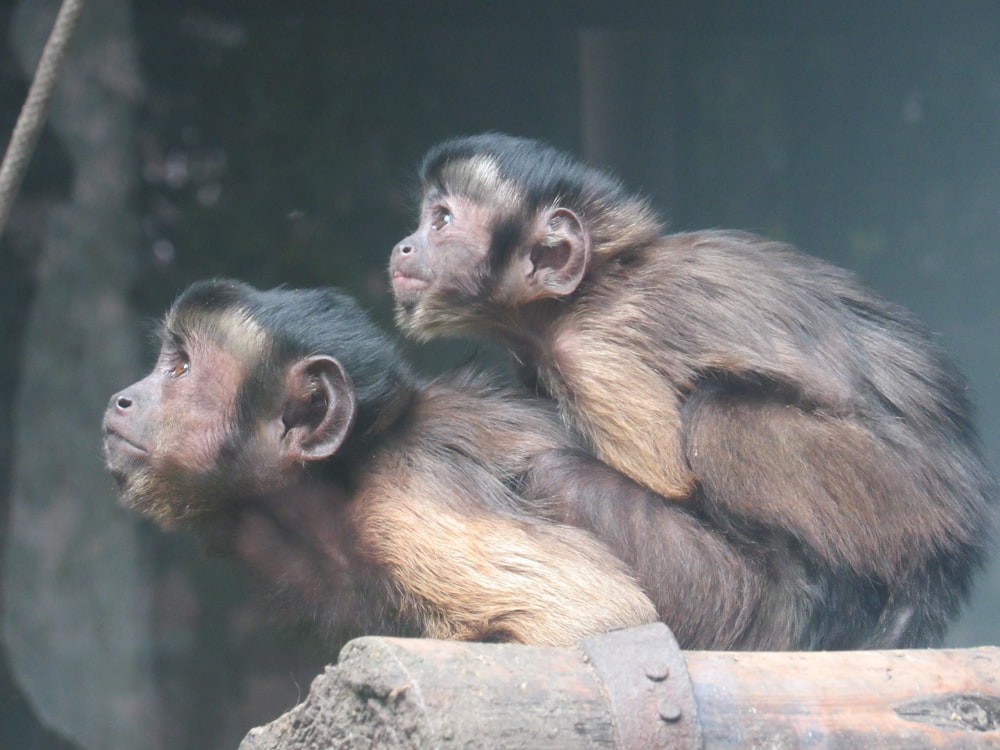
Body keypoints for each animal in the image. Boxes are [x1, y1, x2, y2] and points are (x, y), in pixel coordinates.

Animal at [390, 134, 1000, 652]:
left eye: (442, 221)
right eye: (425, 218)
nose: (403, 246)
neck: (591, 290)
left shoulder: (596, 351)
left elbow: (674, 487)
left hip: (877, 504)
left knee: (712, 417)